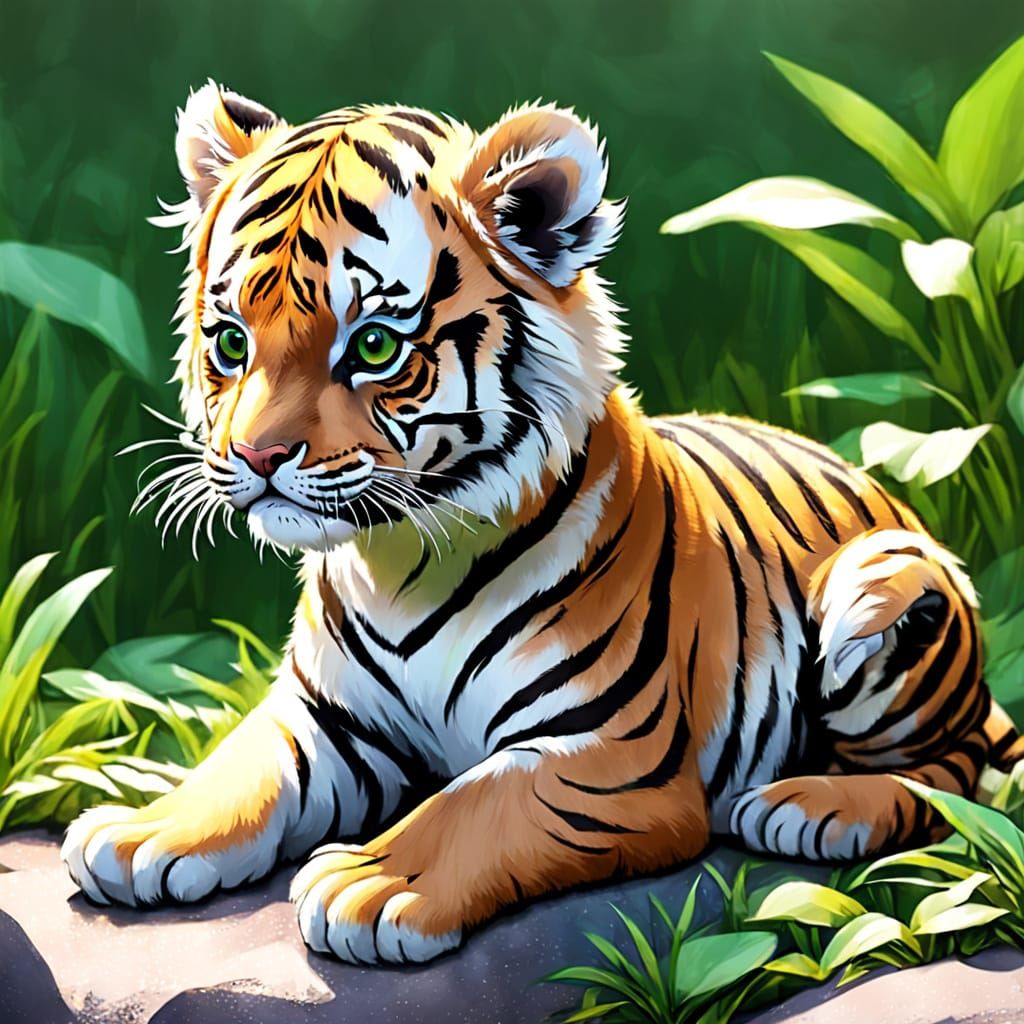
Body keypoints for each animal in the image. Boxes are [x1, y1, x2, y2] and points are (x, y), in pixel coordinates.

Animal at [61, 82, 1022, 966]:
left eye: (374, 346)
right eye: (231, 342)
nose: (257, 458)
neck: (398, 561)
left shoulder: (607, 753)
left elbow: (476, 802)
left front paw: (372, 882)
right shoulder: (327, 720)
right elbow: (242, 765)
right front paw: (145, 829)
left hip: (883, 586)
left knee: (954, 770)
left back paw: (813, 806)